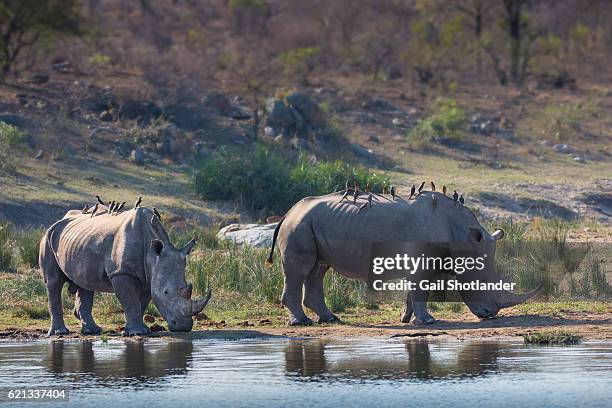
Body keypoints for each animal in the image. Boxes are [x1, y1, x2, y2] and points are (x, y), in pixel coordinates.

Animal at [38, 204, 210, 334]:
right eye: (166, 292)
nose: (183, 327)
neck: (153, 255)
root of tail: (58, 222)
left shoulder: (149, 276)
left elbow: (141, 301)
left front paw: (137, 330)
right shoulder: (121, 272)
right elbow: (130, 300)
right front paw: (137, 332)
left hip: (80, 242)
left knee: (86, 284)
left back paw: (93, 331)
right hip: (47, 238)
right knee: (53, 282)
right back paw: (60, 332)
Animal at [268, 190, 540, 326]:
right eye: (480, 282)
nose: (490, 314)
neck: (461, 233)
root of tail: (288, 212)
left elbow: (414, 289)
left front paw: (406, 319)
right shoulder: (422, 260)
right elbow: (421, 288)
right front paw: (428, 322)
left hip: (310, 224)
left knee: (317, 270)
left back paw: (331, 319)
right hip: (299, 226)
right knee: (300, 270)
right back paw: (301, 323)